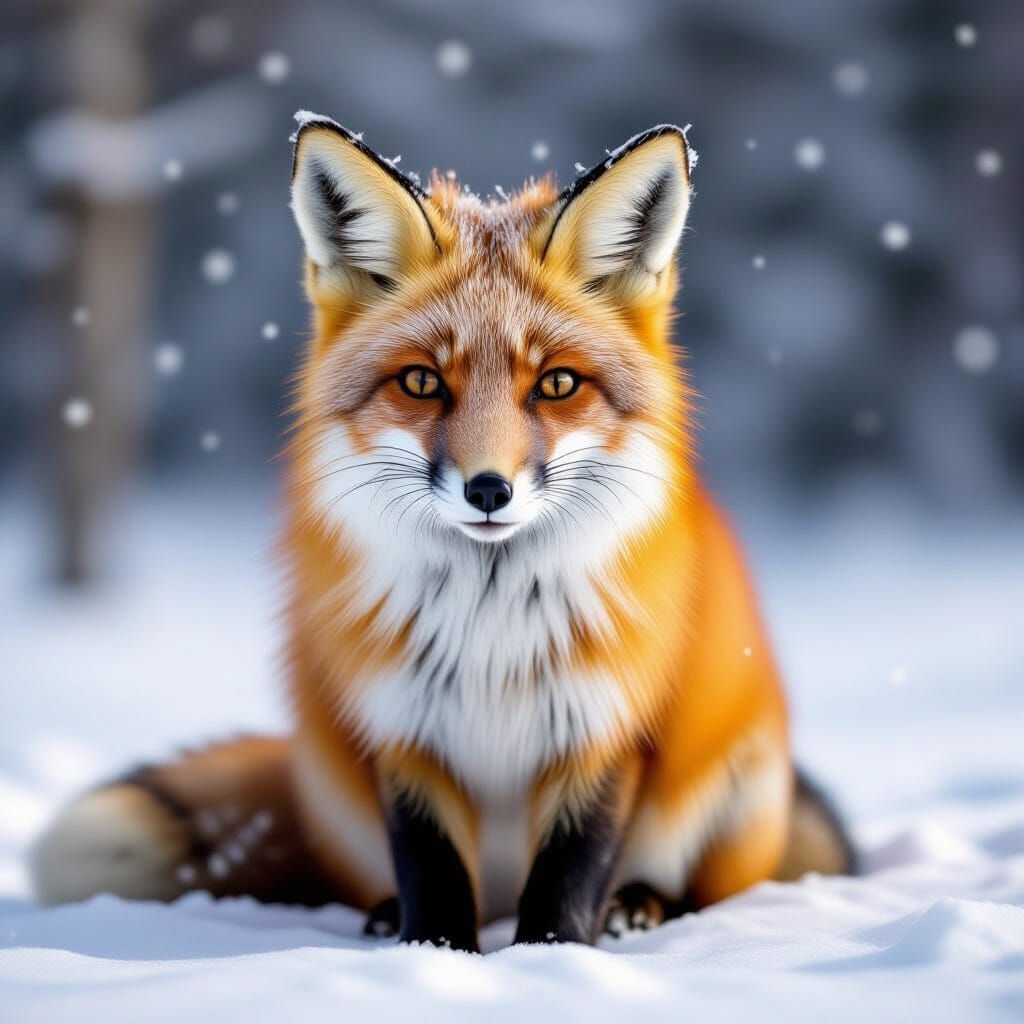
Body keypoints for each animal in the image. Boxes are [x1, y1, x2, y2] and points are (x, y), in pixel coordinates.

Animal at [31, 115, 855, 951]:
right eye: (422, 382)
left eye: (557, 383)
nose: (489, 489)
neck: (491, 630)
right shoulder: (404, 730)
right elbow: (430, 871)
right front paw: (432, 954)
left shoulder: (603, 730)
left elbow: (569, 879)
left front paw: (551, 959)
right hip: (333, 784)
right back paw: (385, 914)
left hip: (735, 778)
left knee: (695, 891)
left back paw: (640, 905)